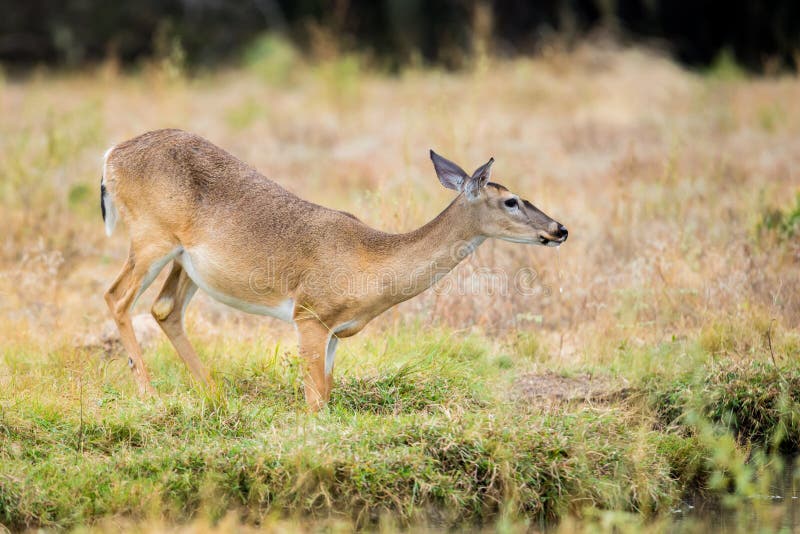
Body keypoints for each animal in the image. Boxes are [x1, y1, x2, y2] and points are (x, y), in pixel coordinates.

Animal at [101, 129, 568, 410]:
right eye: (510, 200)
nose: (559, 229)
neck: (371, 261)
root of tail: (111, 156)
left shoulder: (335, 333)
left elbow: (326, 392)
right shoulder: (309, 315)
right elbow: (315, 402)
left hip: (185, 262)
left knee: (165, 309)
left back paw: (214, 392)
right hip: (151, 238)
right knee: (117, 296)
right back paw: (149, 394)